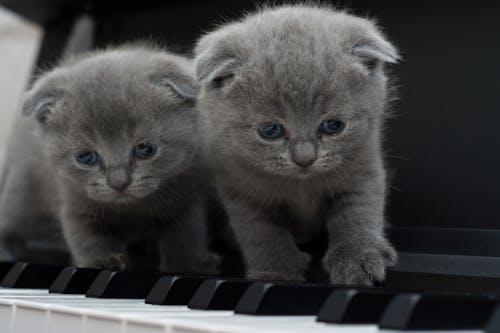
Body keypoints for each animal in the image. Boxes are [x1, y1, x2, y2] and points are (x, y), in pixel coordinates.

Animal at [0, 44, 219, 272]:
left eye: (145, 149)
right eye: (87, 157)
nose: (119, 183)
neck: (131, 210)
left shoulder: (187, 197)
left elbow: (185, 239)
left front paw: (188, 265)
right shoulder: (75, 205)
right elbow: (88, 241)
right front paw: (104, 262)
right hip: (23, 186)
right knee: (11, 221)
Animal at [194, 5, 398, 284]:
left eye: (333, 126)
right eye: (270, 130)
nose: (304, 158)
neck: (302, 186)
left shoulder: (364, 167)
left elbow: (358, 212)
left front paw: (357, 258)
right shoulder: (238, 186)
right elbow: (261, 233)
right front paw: (276, 273)